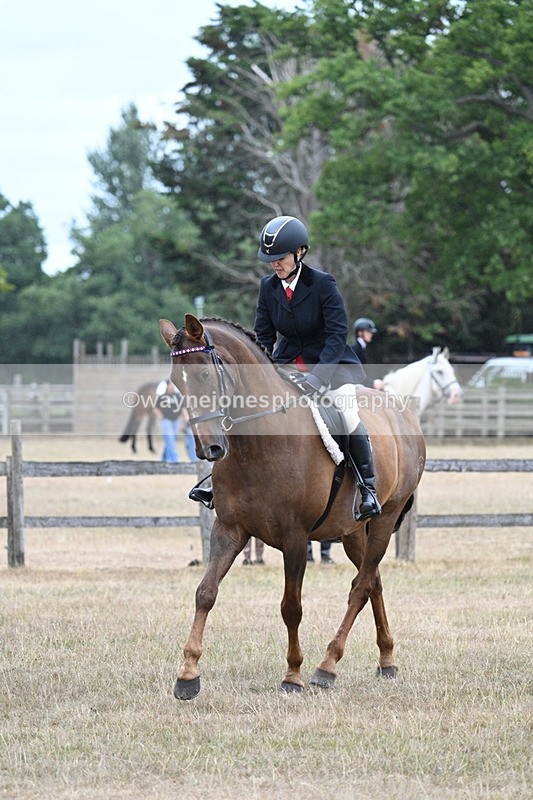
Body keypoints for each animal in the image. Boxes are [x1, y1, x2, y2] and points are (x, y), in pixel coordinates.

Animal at [159, 314, 426, 699]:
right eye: (175, 381)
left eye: (206, 375)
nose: (209, 449)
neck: (258, 443)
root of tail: (402, 414)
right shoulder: (229, 529)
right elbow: (205, 593)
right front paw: (188, 675)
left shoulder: (295, 537)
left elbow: (291, 607)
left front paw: (293, 675)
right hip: (352, 531)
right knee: (372, 581)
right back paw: (386, 660)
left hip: (385, 519)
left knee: (360, 587)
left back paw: (327, 666)